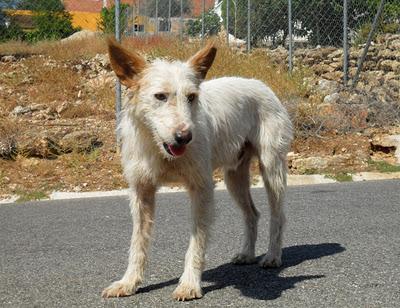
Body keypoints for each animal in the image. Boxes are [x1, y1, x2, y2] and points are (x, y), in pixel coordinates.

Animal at [101, 38, 292, 300]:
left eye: (191, 97)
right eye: (160, 96)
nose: (185, 137)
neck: (160, 150)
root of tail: (260, 84)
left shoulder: (201, 189)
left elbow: (196, 243)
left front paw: (190, 284)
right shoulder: (141, 192)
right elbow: (137, 243)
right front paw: (129, 282)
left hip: (272, 168)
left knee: (277, 215)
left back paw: (273, 256)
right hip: (234, 177)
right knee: (252, 214)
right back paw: (247, 254)